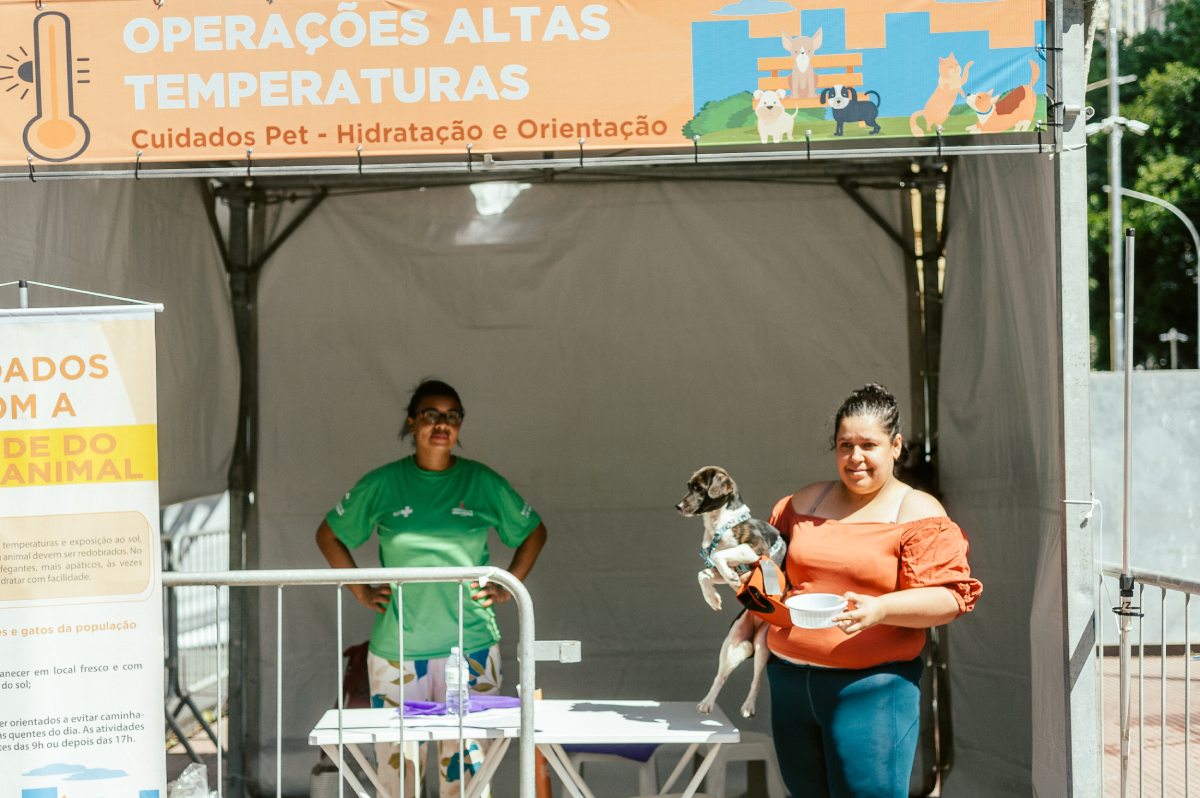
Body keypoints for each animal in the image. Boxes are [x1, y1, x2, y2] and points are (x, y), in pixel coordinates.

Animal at [676, 463, 787, 720]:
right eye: (688, 486)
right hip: (731, 645)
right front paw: (713, 598)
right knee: (720, 677)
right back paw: (707, 703)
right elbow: (704, 574)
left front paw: (729, 577)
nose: (678, 506)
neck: (722, 523)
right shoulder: (717, 566)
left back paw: (748, 706)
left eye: (699, 488)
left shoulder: (755, 549)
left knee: (757, 679)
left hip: (762, 645)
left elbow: (721, 555)